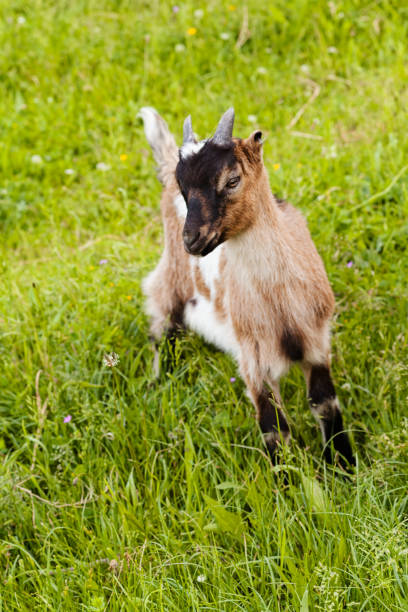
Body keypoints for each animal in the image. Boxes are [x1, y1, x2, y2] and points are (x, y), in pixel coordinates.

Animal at [139, 106, 354, 468]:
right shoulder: (253, 361)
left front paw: (345, 467)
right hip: (171, 282)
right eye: (184, 188)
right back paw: (157, 381)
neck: (280, 307)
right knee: (161, 325)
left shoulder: (316, 341)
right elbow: (274, 429)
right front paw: (287, 480)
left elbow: (325, 405)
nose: (192, 240)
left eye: (232, 180)